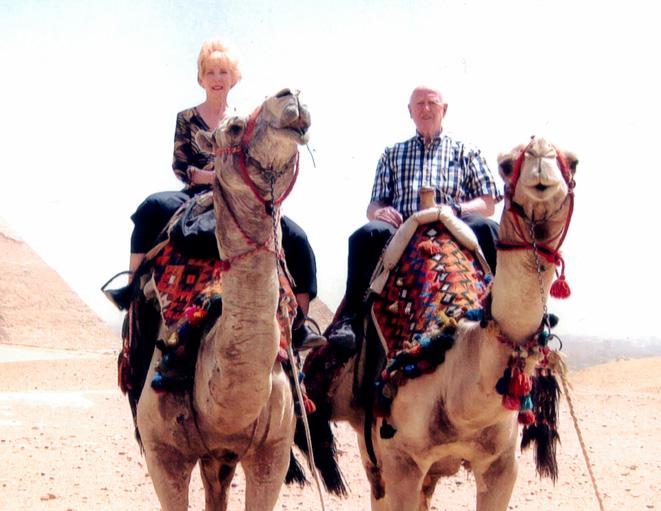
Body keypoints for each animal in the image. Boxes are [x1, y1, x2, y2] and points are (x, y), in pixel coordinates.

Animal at [302, 136, 578, 510]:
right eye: (506, 165)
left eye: (573, 162)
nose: (540, 156)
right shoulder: (400, 461)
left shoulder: (503, 465)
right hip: (372, 448)